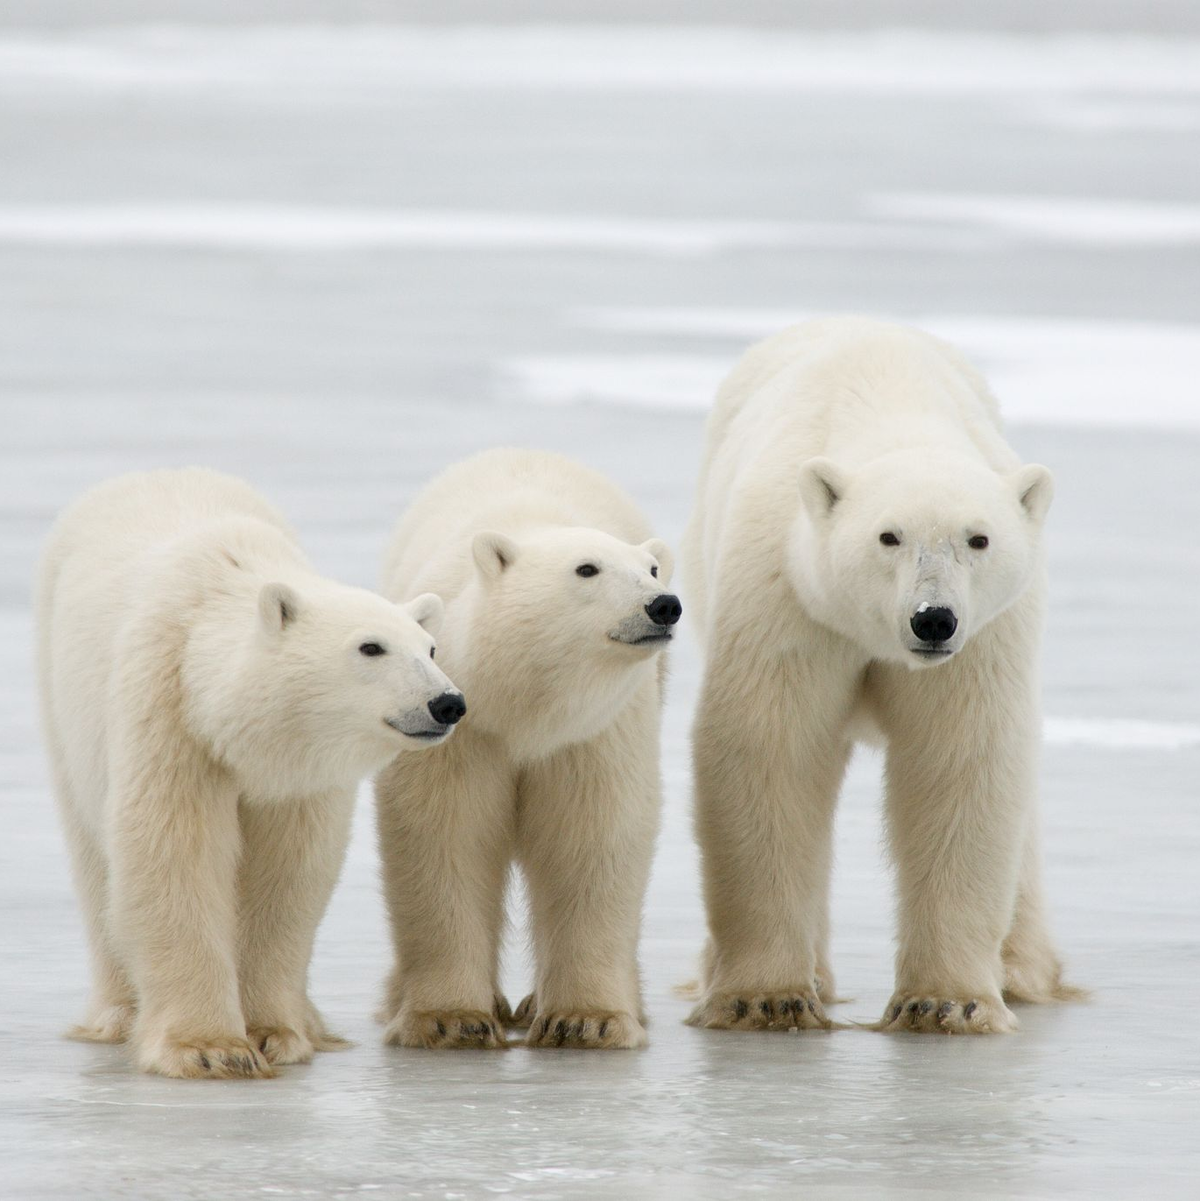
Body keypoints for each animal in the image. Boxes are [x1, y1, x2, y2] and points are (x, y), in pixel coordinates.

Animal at [36, 467, 465, 1078]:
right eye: (370, 647)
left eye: (430, 648)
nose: (447, 703)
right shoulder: (169, 714)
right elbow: (174, 854)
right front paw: (209, 1048)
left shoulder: (297, 775)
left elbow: (289, 872)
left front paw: (272, 1033)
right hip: (63, 697)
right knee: (94, 858)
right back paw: (117, 1014)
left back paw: (314, 1022)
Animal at [374, 448, 680, 1050]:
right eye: (587, 568)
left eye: (651, 570)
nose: (664, 605)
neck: (523, 708)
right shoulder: (462, 730)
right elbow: (445, 834)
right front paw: (451, 1019)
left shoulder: (592, 733)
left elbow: (591, 836)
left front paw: (587, 1019)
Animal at [683, 317, 1079, 1036]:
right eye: (887, 536)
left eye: (978, 538)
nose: (933, 619)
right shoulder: (789, 596)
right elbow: (771, 749)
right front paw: (767, 997)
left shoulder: (983, 640)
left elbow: (958, 761)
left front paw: (948, 1001)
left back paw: (1022, 971)